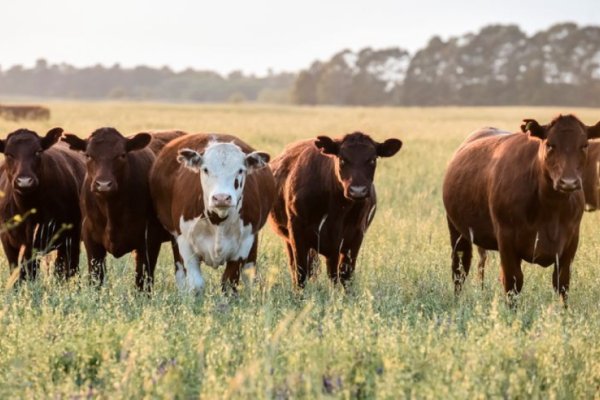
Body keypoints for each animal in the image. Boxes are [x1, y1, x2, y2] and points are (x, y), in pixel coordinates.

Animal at [0, 127, 85, 282]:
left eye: (38, 151)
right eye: (8, 154)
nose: (24, 181)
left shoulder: (67, 238)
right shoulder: (10, 242)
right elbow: (19, 273)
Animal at [61, 128, 185, 290]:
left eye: (122, 155)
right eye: (88, 155)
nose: (103, 184)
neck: (112, 211)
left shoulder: (149, 240)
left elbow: (143, 281)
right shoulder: (91, 239)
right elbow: (96, 279)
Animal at [149, 134, 276, 294]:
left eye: (240, 170)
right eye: (205, 169)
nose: (221, 197)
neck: (218, 221)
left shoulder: (244, 244)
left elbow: (229, 283)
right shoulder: (184, 242)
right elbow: (196, 284)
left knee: (249, 270)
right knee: (180, 271)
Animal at [268, 133, 400, 290]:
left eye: (372, 159)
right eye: (342, 159)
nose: (358, 191)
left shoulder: (354, 236)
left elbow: (344, 274)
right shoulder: (297, 231)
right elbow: (301, 271)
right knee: (297, 267)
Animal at [440, 114, 600, 304]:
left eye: (584, 145)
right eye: (550, 144)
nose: (568, 182)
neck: (550, 209)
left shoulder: (571, 241)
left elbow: (562, 284)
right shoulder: (506, 238)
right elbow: (513, 282)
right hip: (457, 230)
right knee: (460, 269)